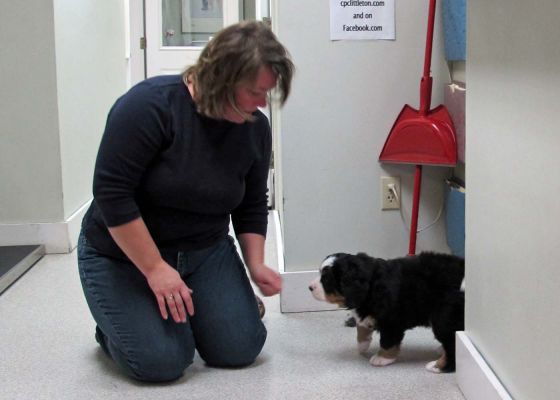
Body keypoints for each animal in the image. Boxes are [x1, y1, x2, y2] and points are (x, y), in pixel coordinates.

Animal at [308, 252, 466, 374]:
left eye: (326, 279)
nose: (310, 287)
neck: (372, 285)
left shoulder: (391, 321)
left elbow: (387, 341)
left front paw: (382, 358)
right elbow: (362, 327)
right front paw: (362, 345)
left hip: (443, 318)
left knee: (452, 344)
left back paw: (438, 366)